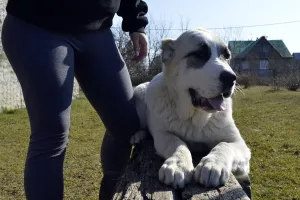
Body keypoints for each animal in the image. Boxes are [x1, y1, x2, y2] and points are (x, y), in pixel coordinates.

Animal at [131, 27, 251, 190]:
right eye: (199, 54)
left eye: (227, 56)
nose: (231, 78)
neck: (195, 118)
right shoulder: (163, 134)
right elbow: (177, 143)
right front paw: (178, 164)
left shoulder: (239, 144)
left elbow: (224, 145)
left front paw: (213, 165)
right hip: (140, 92)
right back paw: (138, 135)